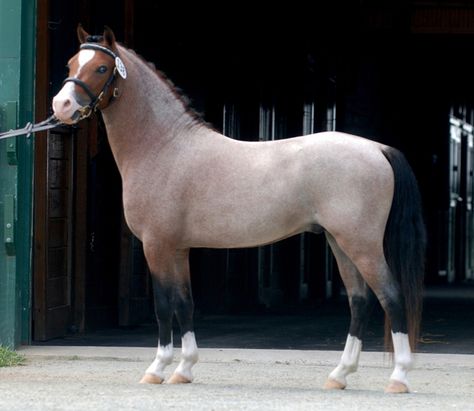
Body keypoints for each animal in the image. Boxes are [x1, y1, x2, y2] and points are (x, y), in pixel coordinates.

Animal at [51, 27, 426, 394]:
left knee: (391, 298)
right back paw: (339, 375)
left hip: (361, 244)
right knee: (359, 301)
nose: (62, 105)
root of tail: (377, 149)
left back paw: (399, 378)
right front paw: (184, 369)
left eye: (101, 68)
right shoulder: (178, 248)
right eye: (70, 64)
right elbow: (185, 303)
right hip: (340, 242)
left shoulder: (157, 246)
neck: (165, 148)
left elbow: (163, 306)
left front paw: (157, 369)